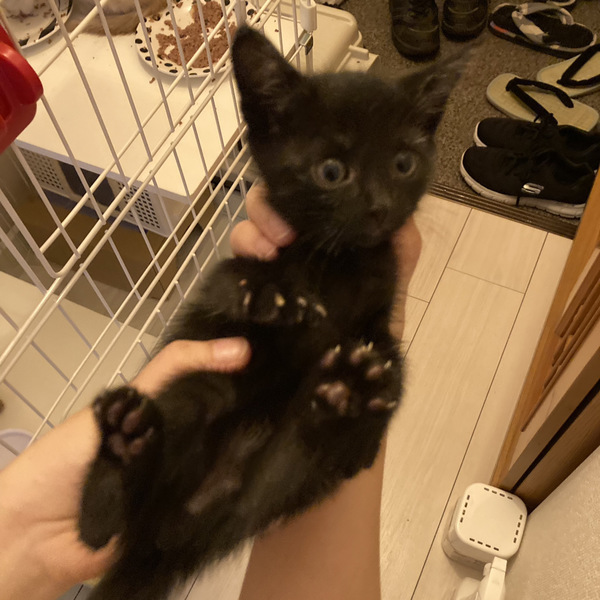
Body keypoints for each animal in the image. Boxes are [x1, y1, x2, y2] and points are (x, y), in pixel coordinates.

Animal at [78, 26, 465, 600]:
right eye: (331, 171)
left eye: (403, 164)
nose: (378, 206)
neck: (338, 263)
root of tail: (171, 540)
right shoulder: (229, 277)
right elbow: (228, 278)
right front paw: (268, 294)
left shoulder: (382, 304)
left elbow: (392, 356)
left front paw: (376, 403)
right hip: (198, 393)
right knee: (102, 525)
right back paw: (119, 457)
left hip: (274, 487)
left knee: (298, 452)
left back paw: (340, 394)